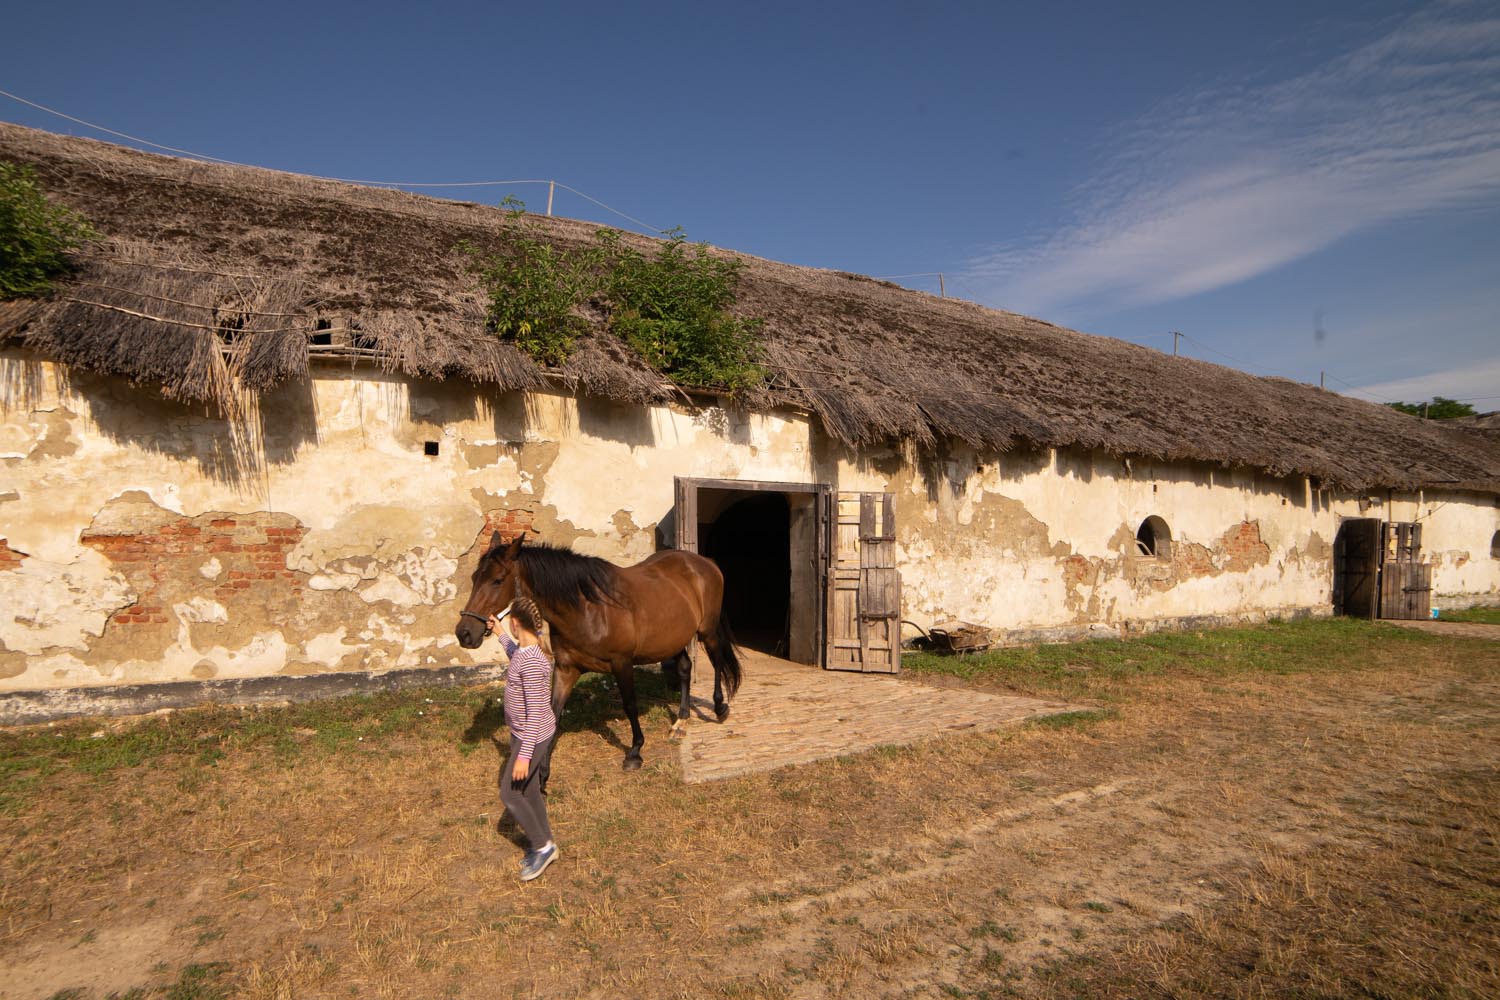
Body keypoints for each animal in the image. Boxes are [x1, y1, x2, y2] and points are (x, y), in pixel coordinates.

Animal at [453, 536, 741, 773]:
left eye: (497, 580)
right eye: (474, 578)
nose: (464, 633)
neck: (588, 609)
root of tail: (704, 563)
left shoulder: (622, 663)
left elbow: (630, 705)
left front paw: (635, 752)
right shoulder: (566, 669)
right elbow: (553, 712)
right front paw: (541, 771)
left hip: (707, 631)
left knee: (717, 662)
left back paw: (719, 707)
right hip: (672, 639)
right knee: (684, 668)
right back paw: (680, 721)